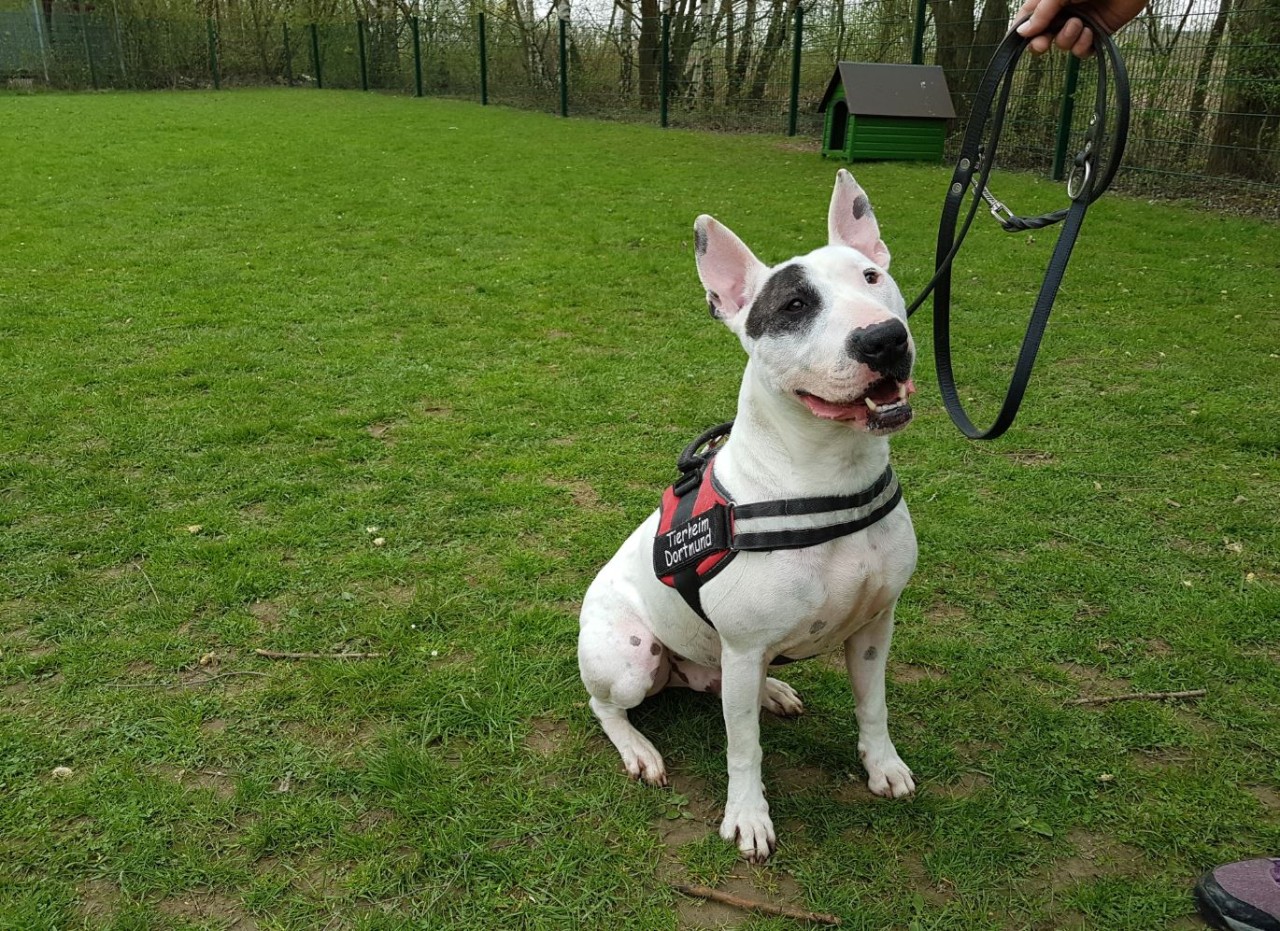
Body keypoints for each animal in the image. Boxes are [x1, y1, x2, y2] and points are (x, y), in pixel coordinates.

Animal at [581, 171, 921, 860]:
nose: (883, 339)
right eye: (792, 307)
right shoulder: (742, 647)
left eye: (872, 276)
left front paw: (883, 767)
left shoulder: (875, 625)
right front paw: (748, 816)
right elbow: (744, 749)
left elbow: (873, 707)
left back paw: (774, 690)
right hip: (631, 659)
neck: (829, 473)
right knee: (609, 707)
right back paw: (639, 749)